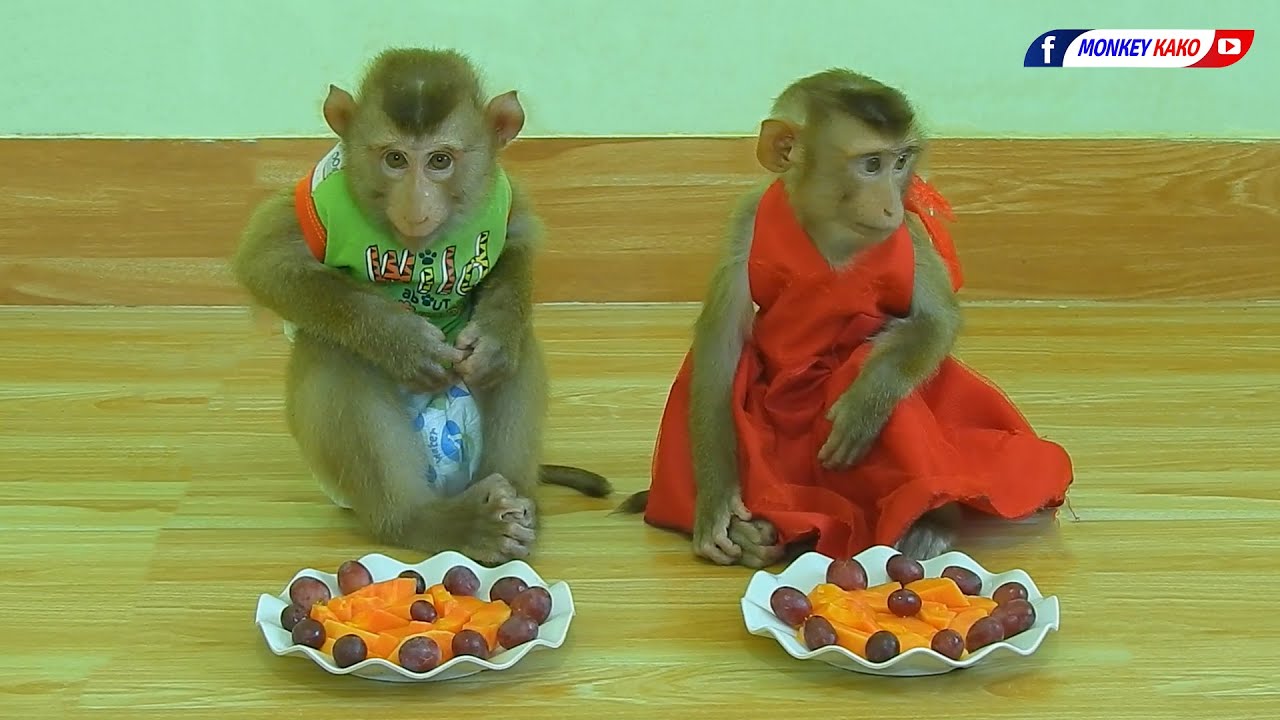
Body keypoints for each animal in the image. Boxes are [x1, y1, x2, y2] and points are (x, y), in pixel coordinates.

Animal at [231, 48, 611, 566]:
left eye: (439, 161)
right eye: (395, 159)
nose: (415, 204)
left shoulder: (502, 191)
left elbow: (517, 242)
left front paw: (495, 336)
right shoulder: (317, 197)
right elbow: (267, 263)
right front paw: (403, 343)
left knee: (518, 353)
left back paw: (515, 504)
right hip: (350, 482)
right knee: (332, 348)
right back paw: (426, 520)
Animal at [623, 69, 1073, 568]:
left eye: (900, 162)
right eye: (871, 165)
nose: (892, 204)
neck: (830, 230)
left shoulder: (908, 235)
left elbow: (935, 322)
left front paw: (864, 407)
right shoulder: (744, 222)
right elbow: (720, 344)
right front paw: (717, 505)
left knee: (871, 356)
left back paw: (929, 520)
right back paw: (754, 533)